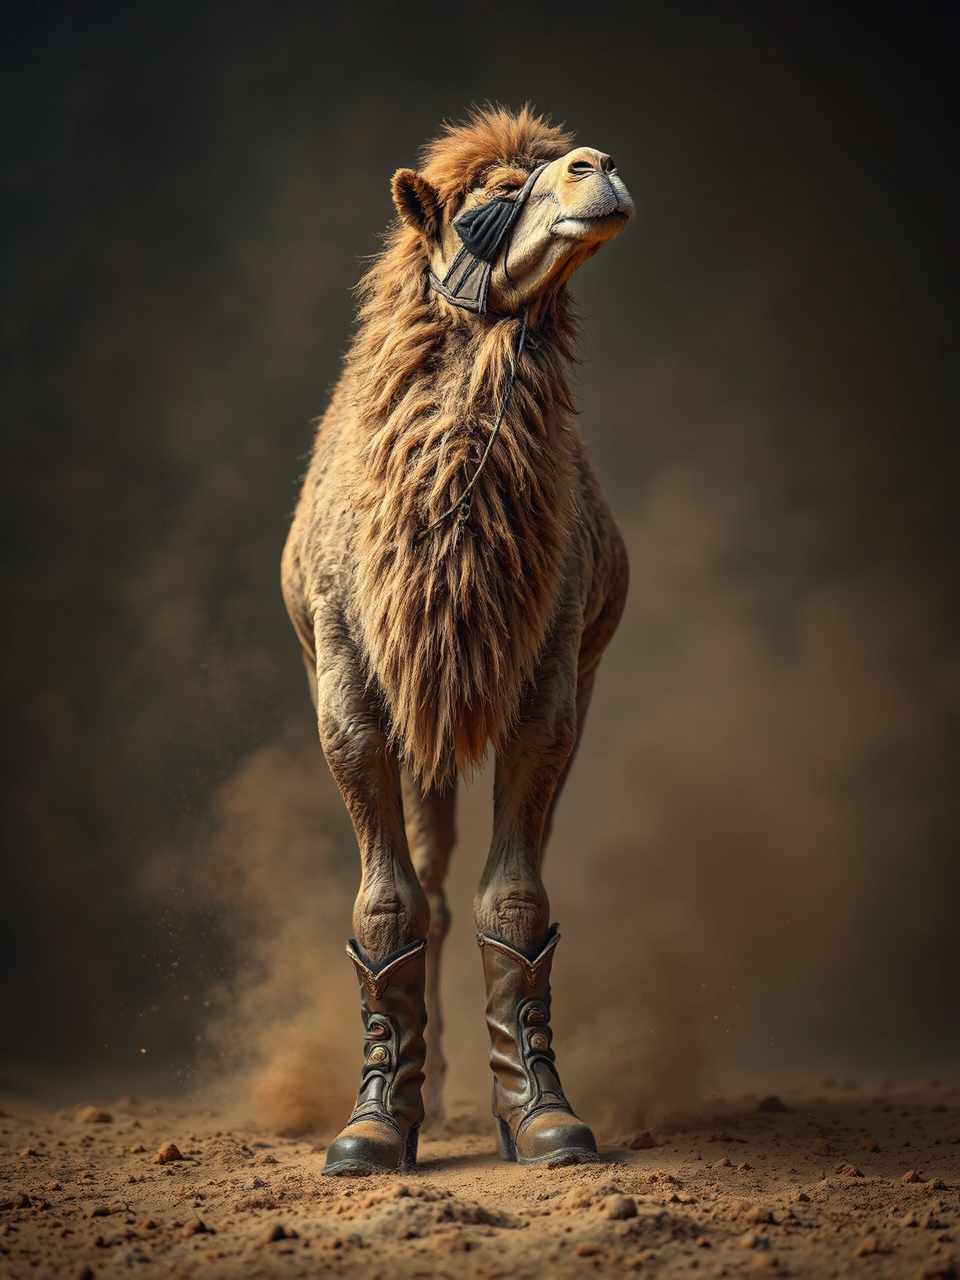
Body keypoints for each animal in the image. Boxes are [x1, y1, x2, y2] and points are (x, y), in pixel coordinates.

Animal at [281, 106, 632, 1175]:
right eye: (493, 194)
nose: (599, 165)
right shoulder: (350, 685)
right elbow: (385, 906)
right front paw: (372, 1126)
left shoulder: (550, 682)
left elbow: (515, 902)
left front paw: (543, 1115)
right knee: (429, 888)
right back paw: (421, 1095)